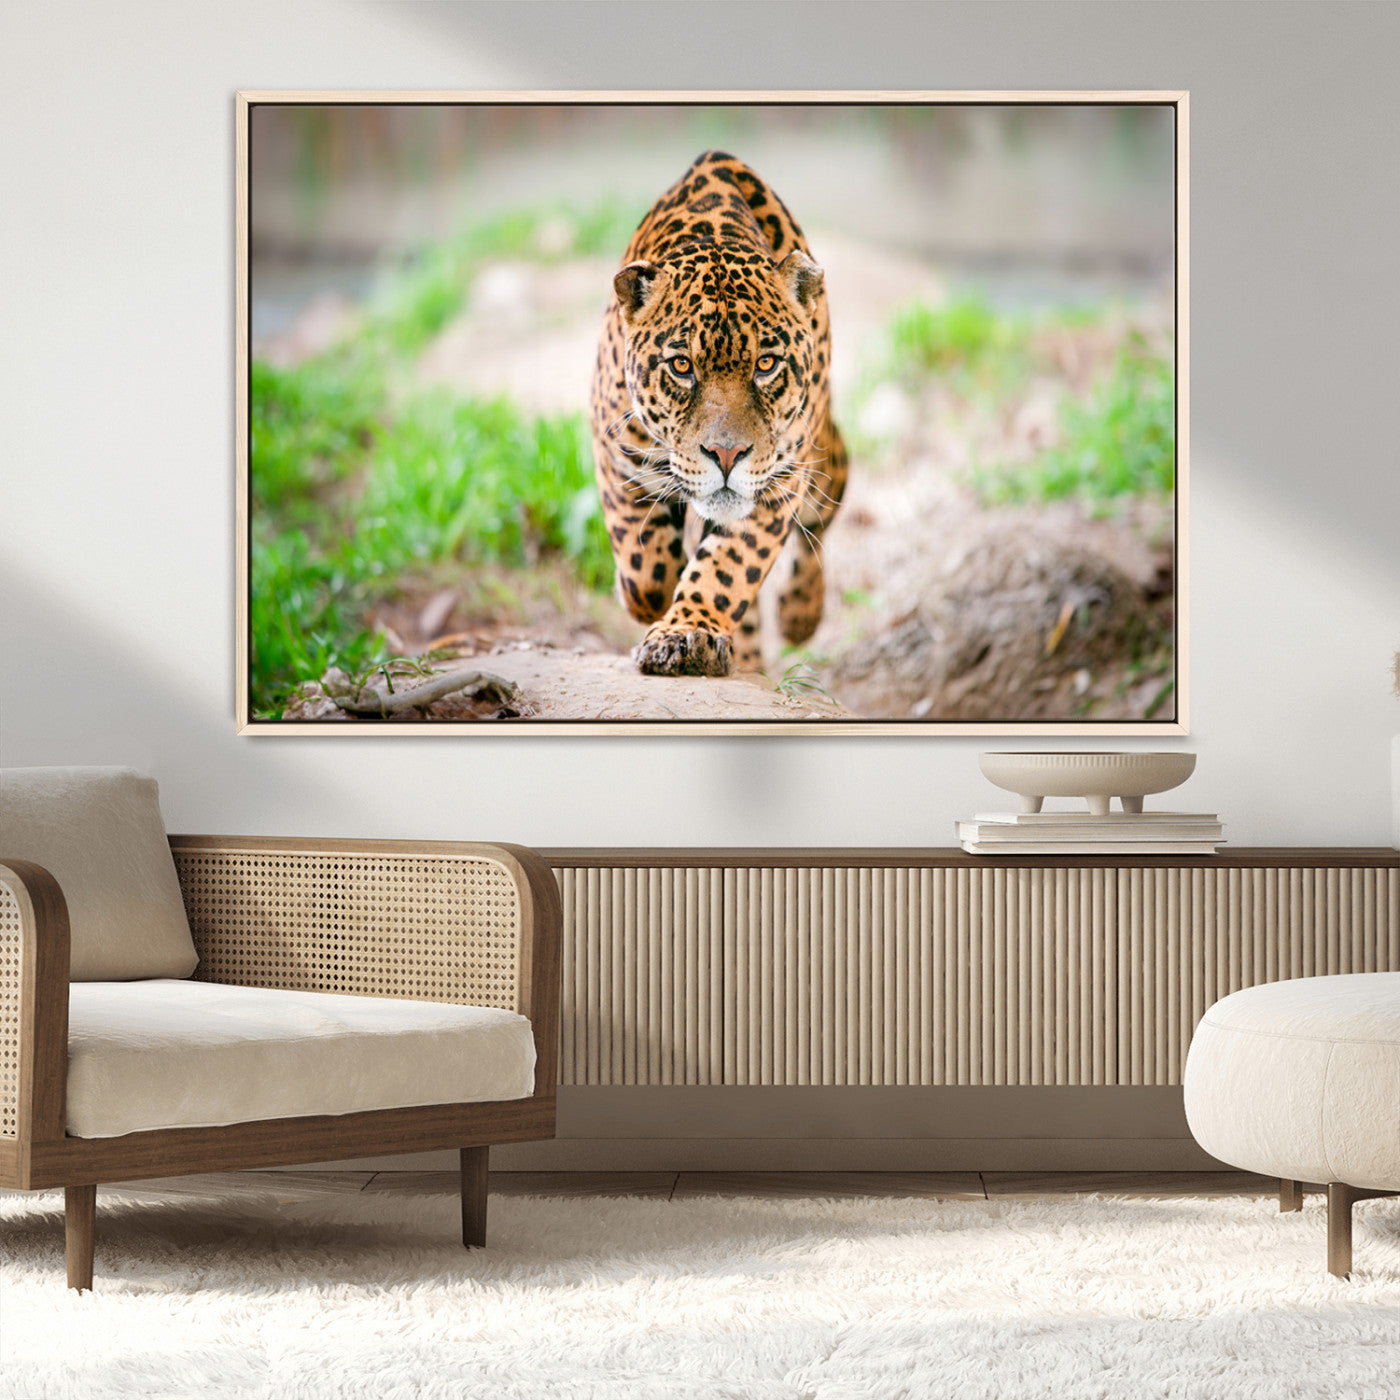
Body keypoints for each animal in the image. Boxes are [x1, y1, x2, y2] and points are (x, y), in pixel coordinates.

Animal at [589, 150, 848, 678]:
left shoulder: (777, 483)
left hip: (822, 461)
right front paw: (647, 600)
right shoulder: (615, 452)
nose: (726, 455)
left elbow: (726, 568)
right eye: (681, 366)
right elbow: (644, 567)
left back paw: (799, 615)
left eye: (766, 364)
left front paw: (687, 633)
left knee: (824, 511)